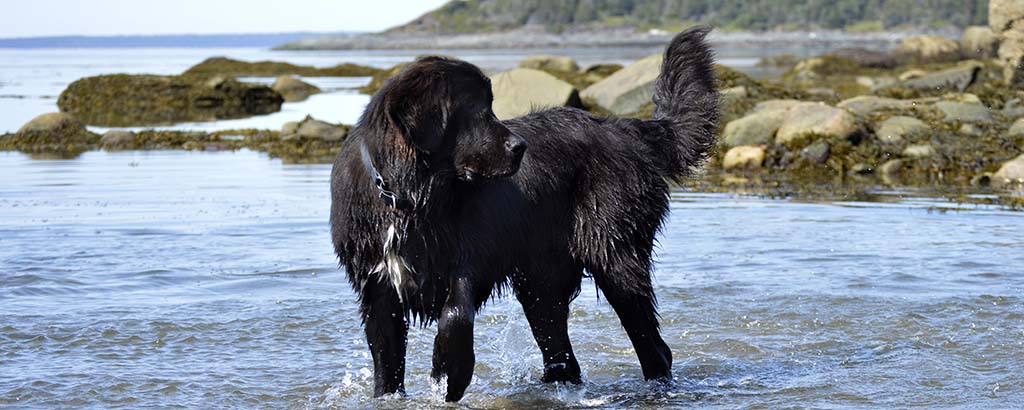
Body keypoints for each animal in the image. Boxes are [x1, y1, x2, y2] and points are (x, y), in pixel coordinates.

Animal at [329, 26, 720, 399]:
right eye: (475, 110)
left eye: (490, 106)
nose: (520, 147)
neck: (407, 199)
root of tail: (623, 127)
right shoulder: (378, 289)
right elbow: (386, 360)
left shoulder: (469, 257)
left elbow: (455, 314)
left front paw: (449, 373)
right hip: (541, 283)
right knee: (562, 352)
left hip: (615, 257)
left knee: (653, 345)